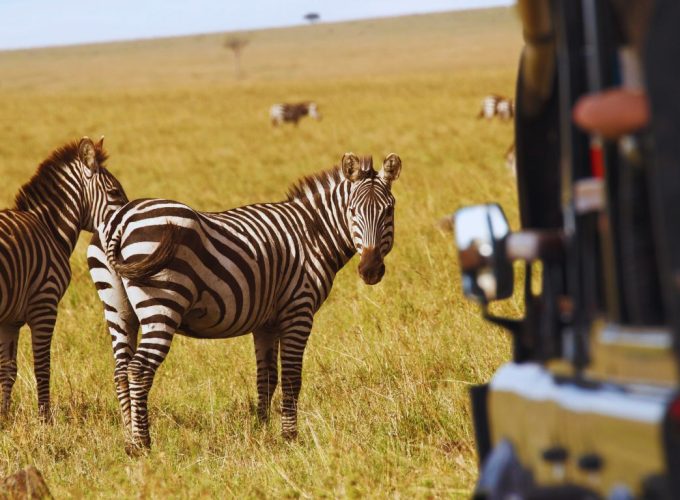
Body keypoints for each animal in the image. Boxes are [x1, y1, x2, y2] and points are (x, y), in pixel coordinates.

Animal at [0, 137, 127, 420]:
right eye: (115, 193)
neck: (49, 227)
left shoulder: (9, 320)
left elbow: (7, 370)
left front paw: (3, 416)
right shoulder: (45, 305)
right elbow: (42, 366)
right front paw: (45, 419)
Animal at [87, 152, 401, 454]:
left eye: (389, 210)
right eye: (352, 211)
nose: (370, 270)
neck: (312, 234)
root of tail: (121, 219)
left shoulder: (266, 323)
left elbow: (267, 378)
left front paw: (262, 431)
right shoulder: (298, 310)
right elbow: (291, 377)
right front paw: (290, 437)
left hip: (118, 309)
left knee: (121, 371)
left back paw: (129, 440)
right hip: (161, 303)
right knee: (139, 370)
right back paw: (143, 445)